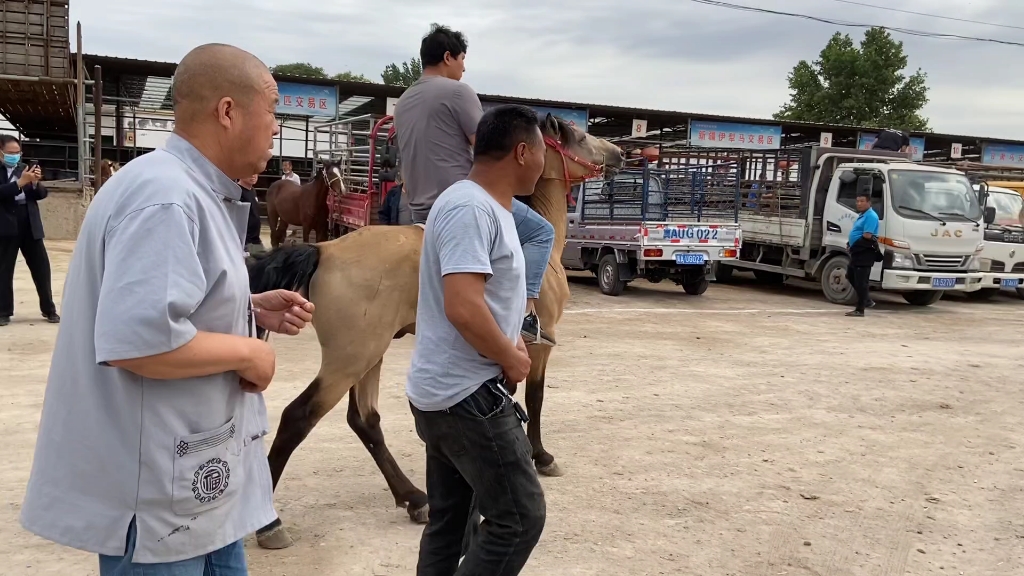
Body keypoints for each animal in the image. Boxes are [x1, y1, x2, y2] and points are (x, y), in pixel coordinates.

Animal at [245, 113, 622, 545]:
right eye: (579, 137)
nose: (619, 153)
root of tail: (324, 251)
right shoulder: (538, 347)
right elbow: (537, 397)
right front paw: (541, 456)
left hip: (370, 354)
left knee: (364, 420)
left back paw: (414, 497)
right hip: (349, 359)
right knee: (299, 417)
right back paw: (270, 523)